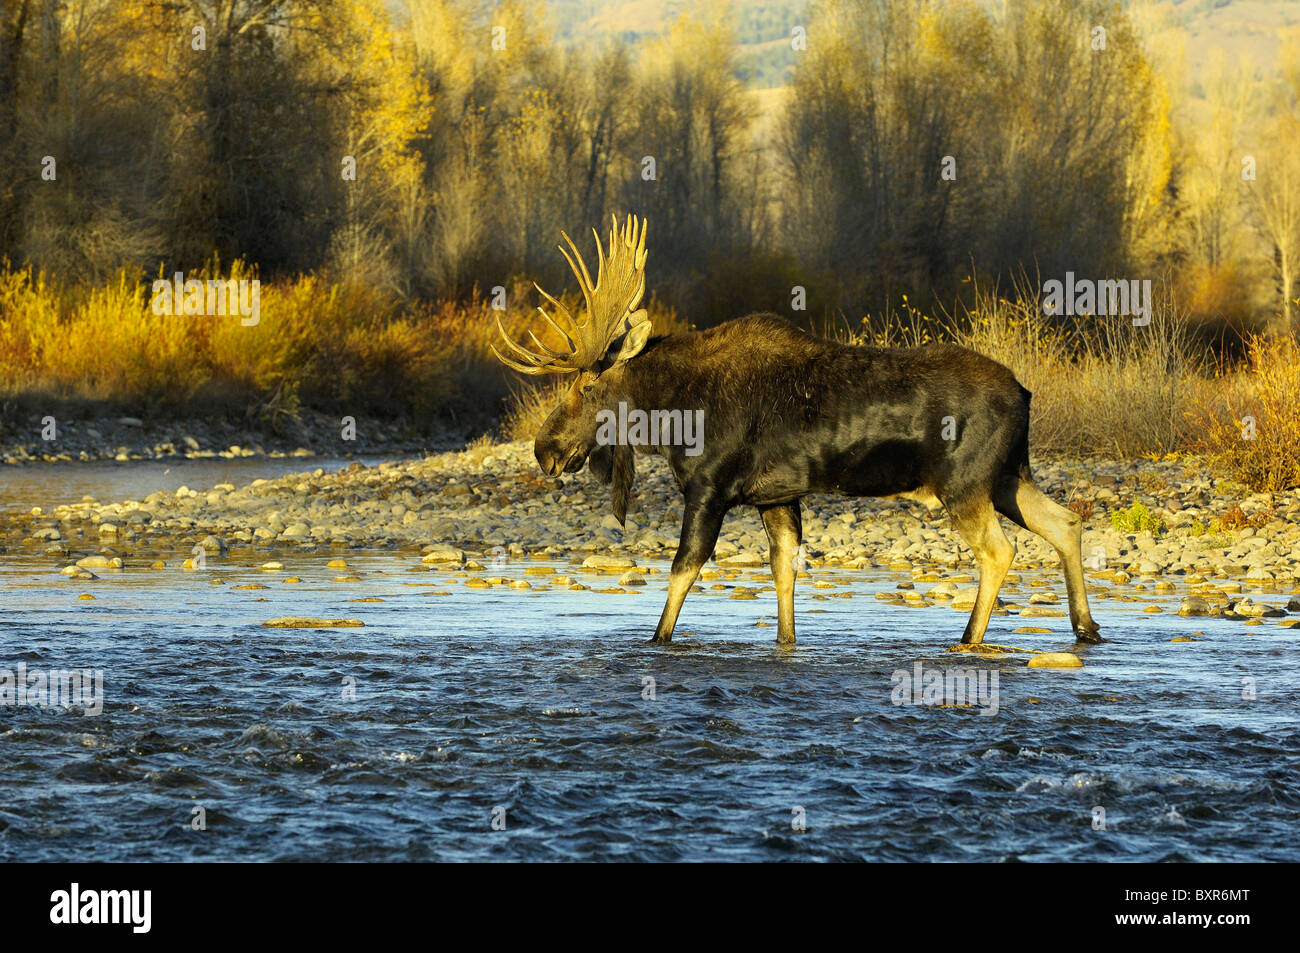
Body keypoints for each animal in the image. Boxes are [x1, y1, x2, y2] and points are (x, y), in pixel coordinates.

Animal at [491, 213, 1102, 647]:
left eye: (586, 388)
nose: (544, 450)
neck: (671, 412)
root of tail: (1025, 394)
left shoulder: (709, 486)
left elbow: (683, 569)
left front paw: (656, 640)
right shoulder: (777, 496)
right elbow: (783, 573)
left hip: (966, 482)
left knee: (1000, 551)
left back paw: (969, 638)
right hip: (1007, 475)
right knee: (1066, 521)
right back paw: (1085, 628)